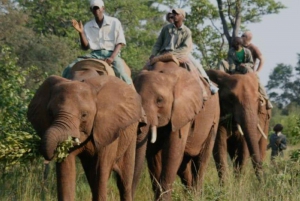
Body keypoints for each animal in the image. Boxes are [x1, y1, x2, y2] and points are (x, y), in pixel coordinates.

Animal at [132, 61, 219, 201]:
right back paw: (190, 196)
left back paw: (196, 196)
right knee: (184, 166)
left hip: (214, 118)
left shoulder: (182, 110)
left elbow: (173, 151)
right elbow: (153, 154)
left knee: (201, 161)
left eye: (159, 100)